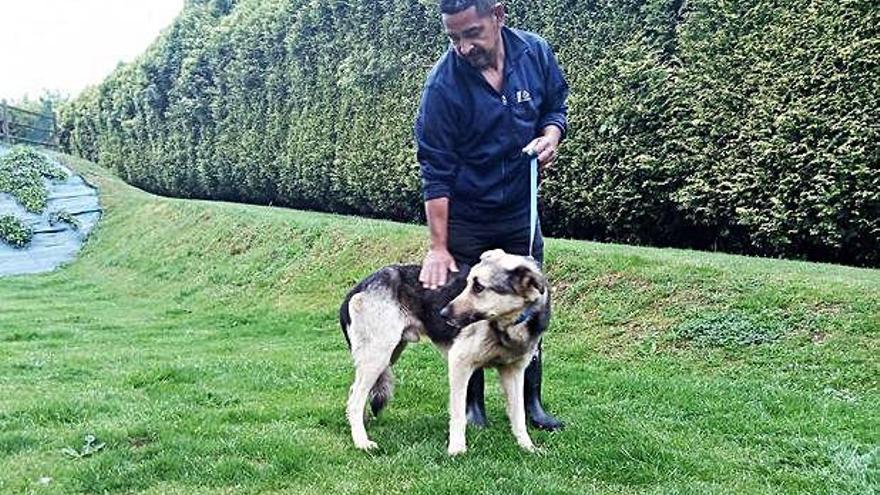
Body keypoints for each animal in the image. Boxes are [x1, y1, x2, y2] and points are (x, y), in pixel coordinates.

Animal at [338, 250, 552, 456]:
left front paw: (527, 447)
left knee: (354, 393)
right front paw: (457, 449)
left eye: (478, 287)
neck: (509, 323)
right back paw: (362, 442)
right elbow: (458, 414)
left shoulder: (513, 372)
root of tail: (360, 286)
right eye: (468, 284)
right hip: (378, 357)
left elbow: (519, 415)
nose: (442, 314)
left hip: (388, 355)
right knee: (355, 400)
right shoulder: (459, 363)